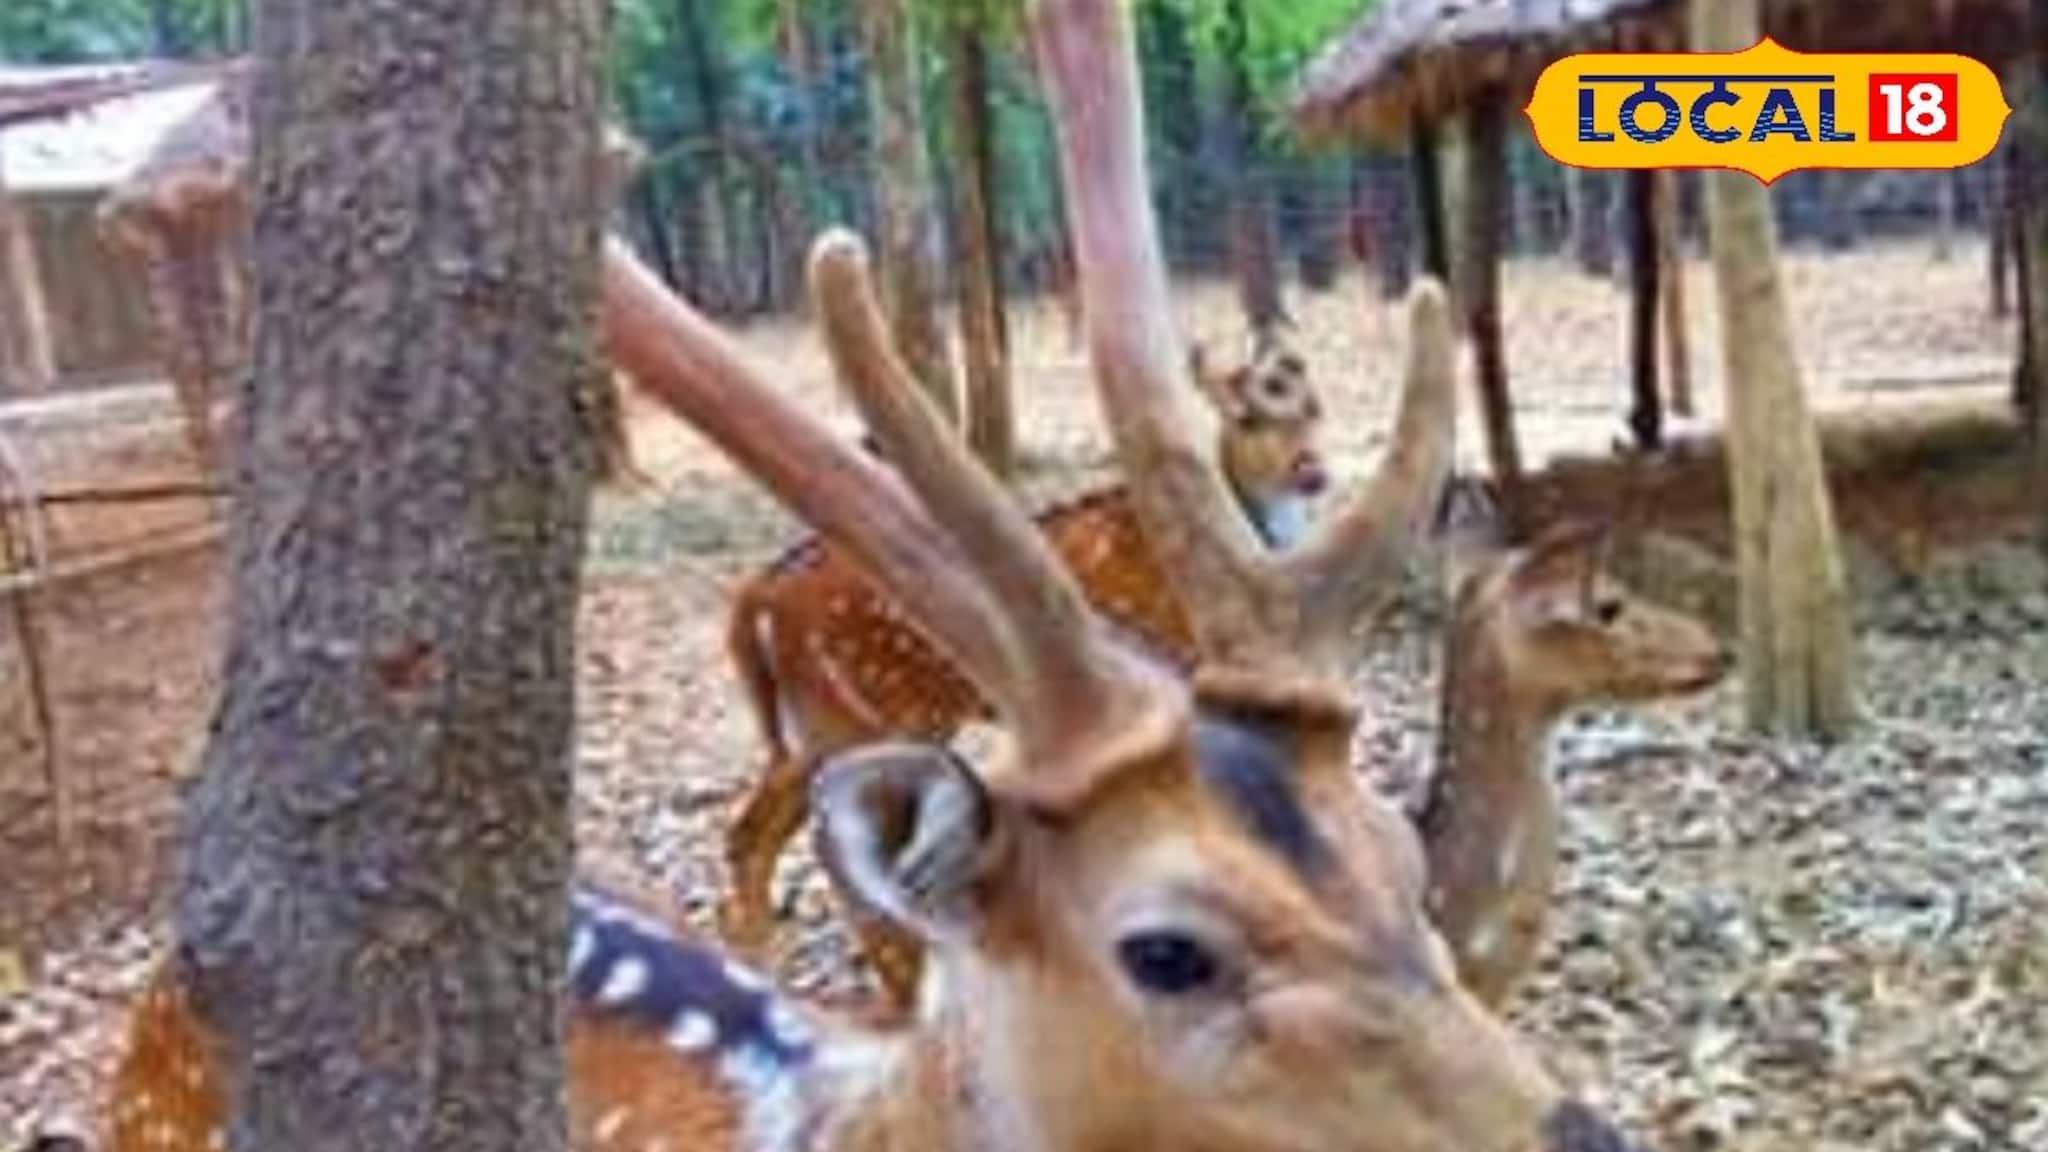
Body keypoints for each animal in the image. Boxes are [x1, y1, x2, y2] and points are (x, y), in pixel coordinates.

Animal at [717, 326, 1327, 995]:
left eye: (1312, 407)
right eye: (1245, 417)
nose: (1312, 472)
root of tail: (757, 599)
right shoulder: (1177, 661)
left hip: (807, 728)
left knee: (749, 831)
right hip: (862, 714)